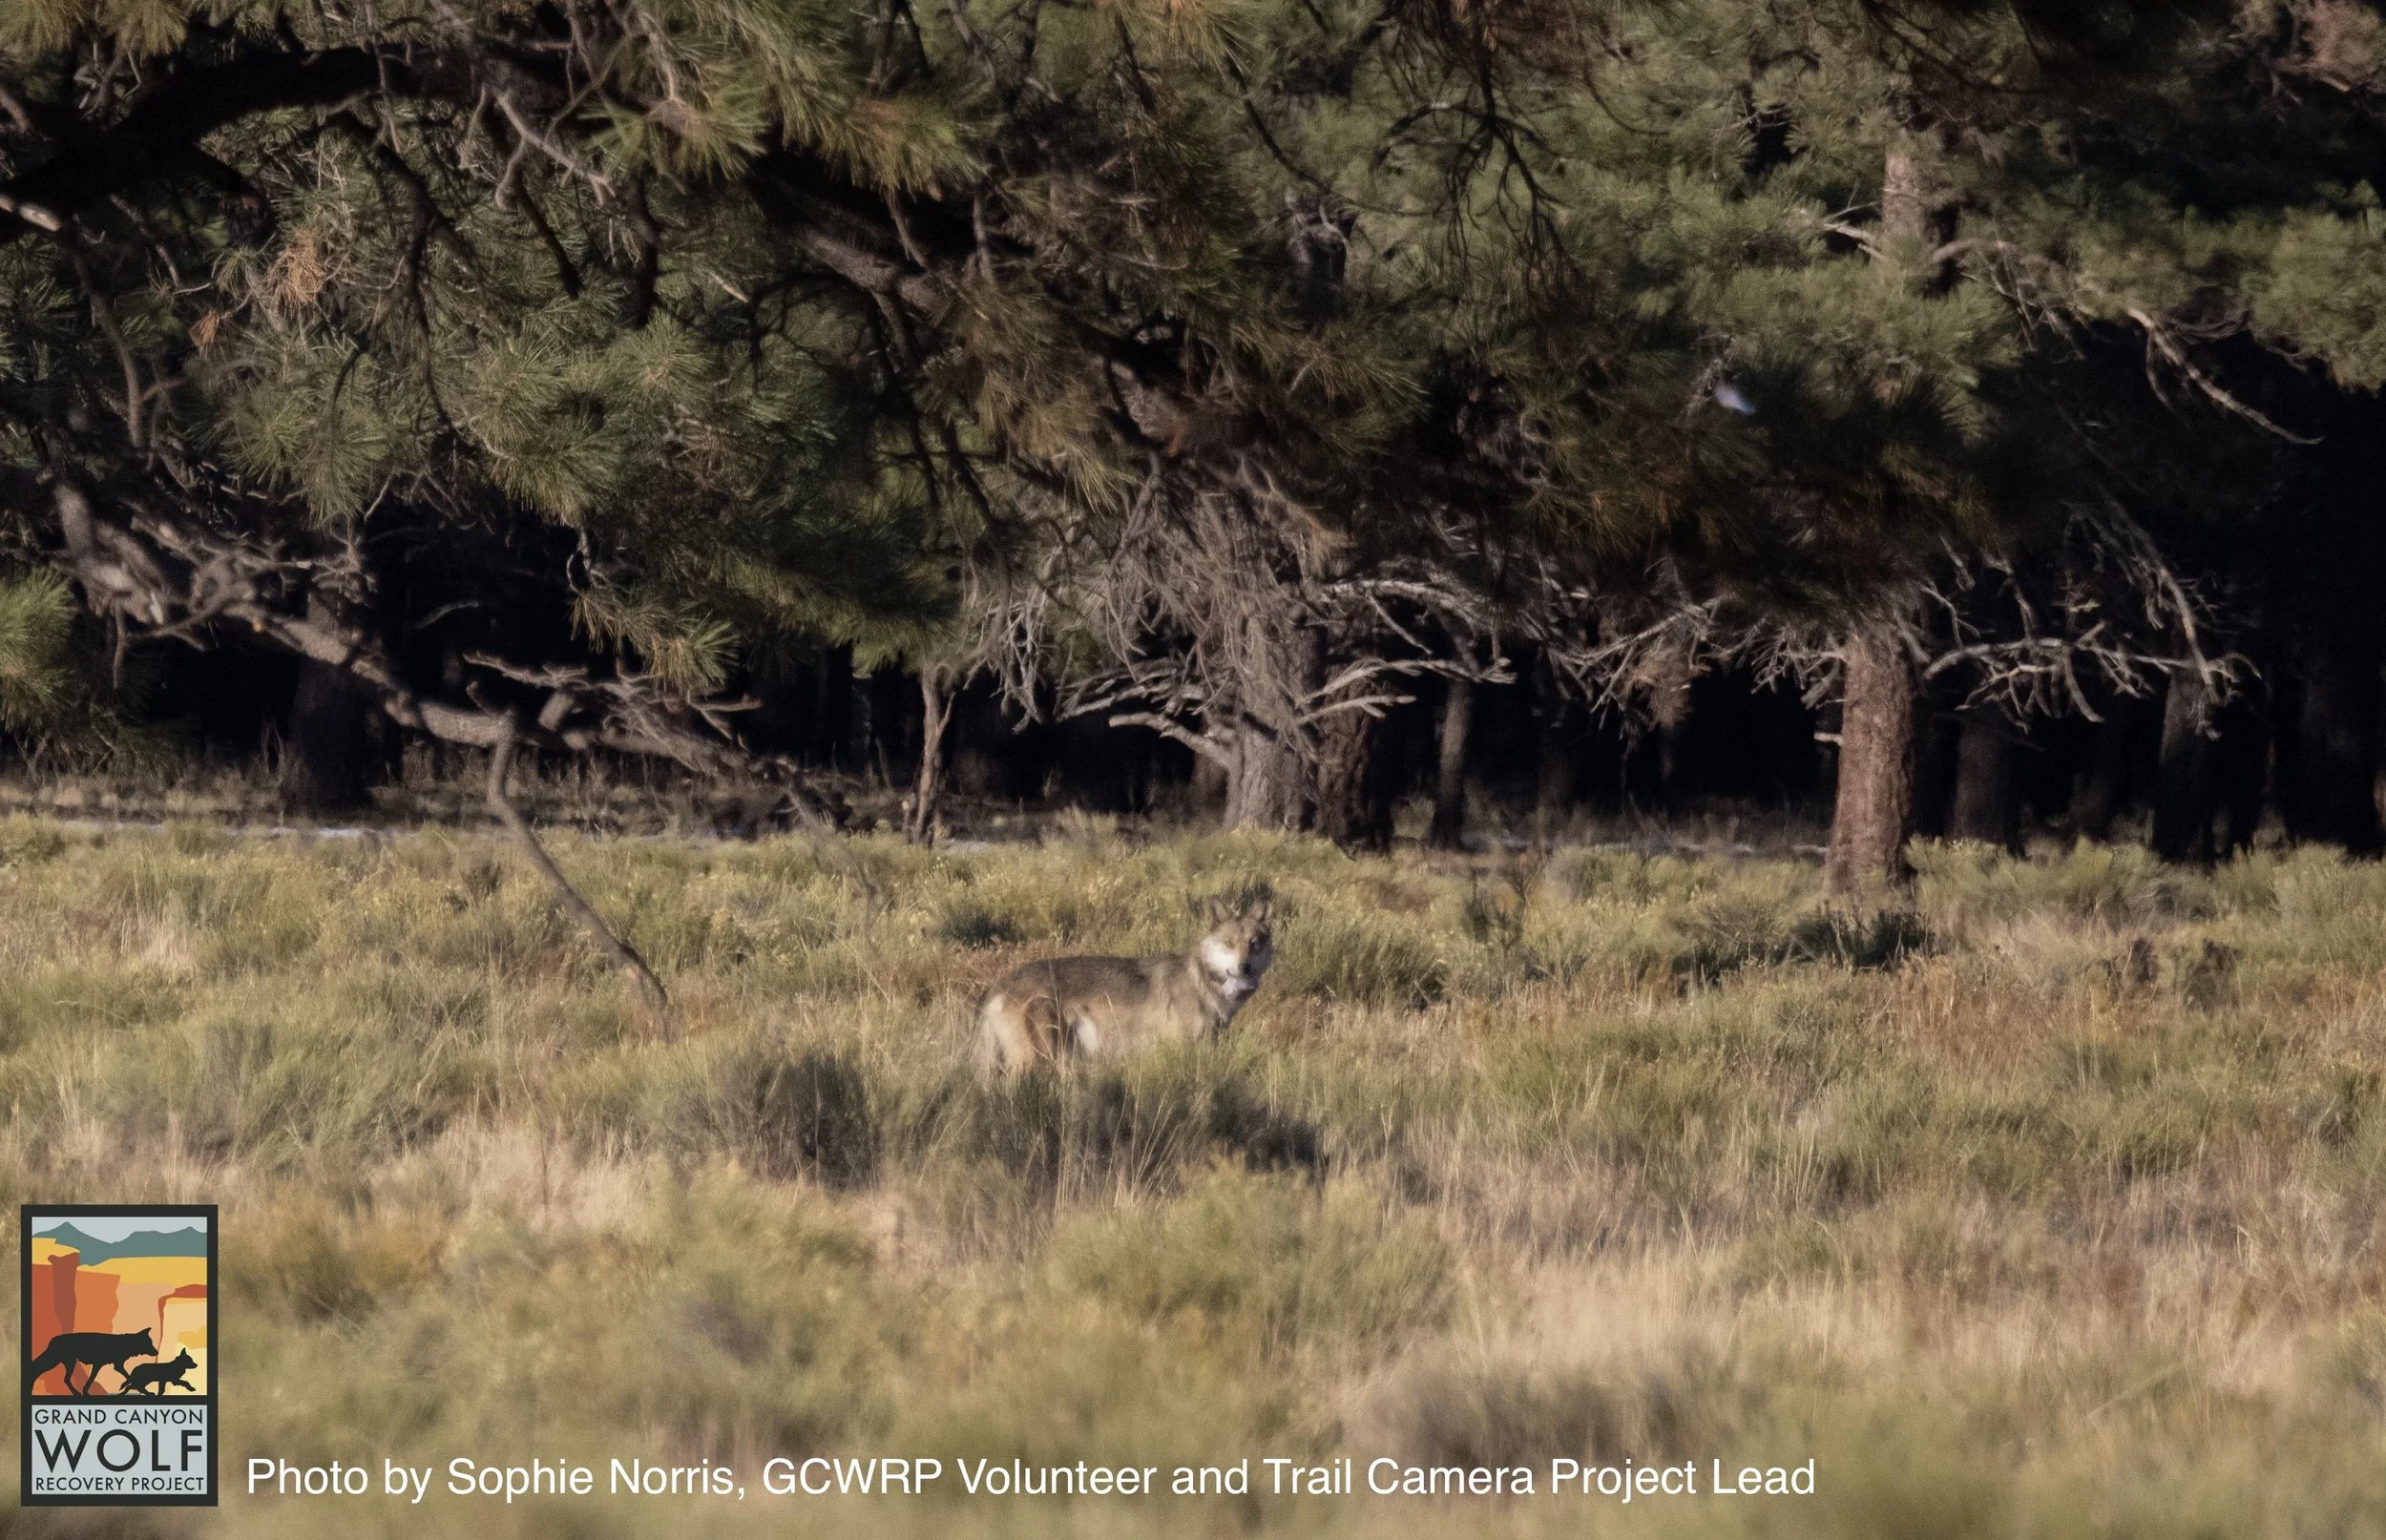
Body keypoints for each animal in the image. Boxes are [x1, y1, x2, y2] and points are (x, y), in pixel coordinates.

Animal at [27, 1327, 157, 1396]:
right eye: (150, 1343)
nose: (157, 1352)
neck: (126, 1344)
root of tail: (53, 1339)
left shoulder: (102, 1365)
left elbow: (91, 1379)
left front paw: (85, 1392)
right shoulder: (113, 1366)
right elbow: (129, 1377)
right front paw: (145, 1391)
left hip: (65, 1363)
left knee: (65, 1379)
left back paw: (76, 1393)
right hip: (58, 1362)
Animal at [975, 894, 1274, 1075]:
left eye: (1254, 944)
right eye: (1229, 944)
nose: (1244, 967)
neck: (1203, 982)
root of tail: (998, 986)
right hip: (1035, 1060)